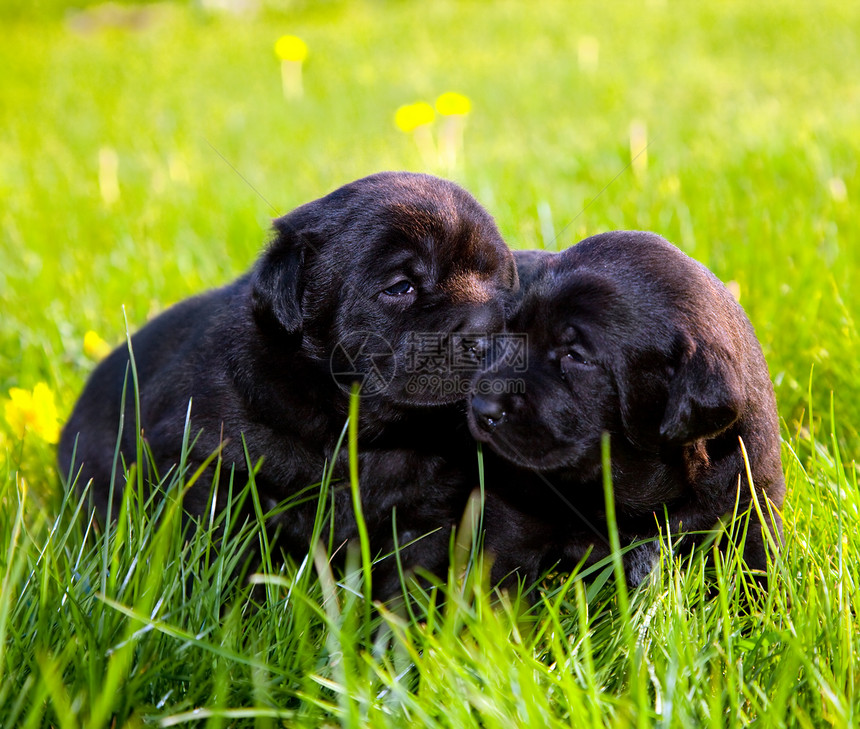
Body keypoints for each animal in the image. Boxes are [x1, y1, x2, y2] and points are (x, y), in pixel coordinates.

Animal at [60, 171, 520, 596]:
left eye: (500, 284)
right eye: (400, 287)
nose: (489, 329)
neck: (360, 433)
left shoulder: (425, 514)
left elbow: (405, 588)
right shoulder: (210, 471)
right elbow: (217, 562)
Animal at [470, 232, 788, 584]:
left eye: (575, 356)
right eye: (509, 332)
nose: (481, 406)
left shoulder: (753, 507)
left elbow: (762, 575)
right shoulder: (512, 518)